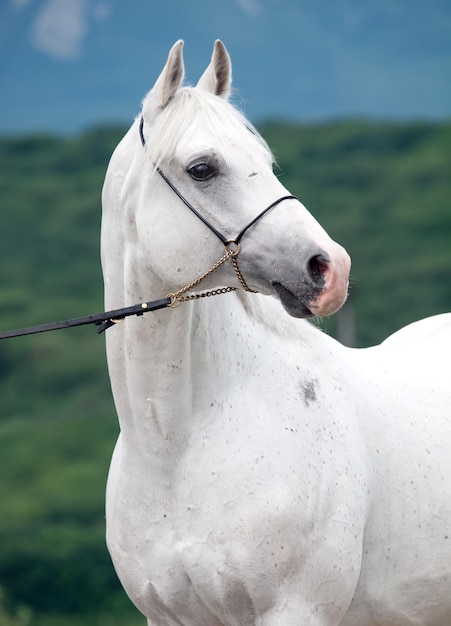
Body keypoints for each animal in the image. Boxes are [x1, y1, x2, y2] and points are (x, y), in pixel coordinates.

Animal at [102, 40, 451, 624]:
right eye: (202, 168)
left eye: (265, 164)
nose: (330, 269)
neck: (175, 446)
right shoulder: (168, 617)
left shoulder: (294, 609)